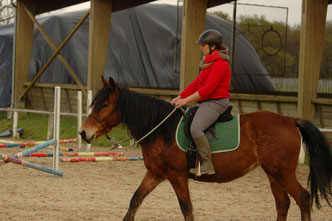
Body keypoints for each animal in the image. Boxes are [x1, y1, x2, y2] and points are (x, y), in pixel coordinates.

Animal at [80, 77, 332, 220]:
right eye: (94, 103)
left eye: (105, 104)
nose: (83, 133)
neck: (162, 129)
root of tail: (292, 121)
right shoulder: (155, 173)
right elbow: (135, 201)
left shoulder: (177, 176)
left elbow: (186, 208)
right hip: (273, 174)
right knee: (283, 204)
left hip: (282, 173)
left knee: (303, 199)